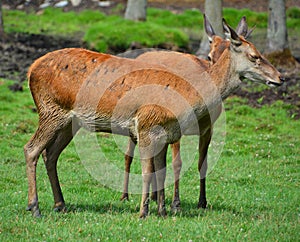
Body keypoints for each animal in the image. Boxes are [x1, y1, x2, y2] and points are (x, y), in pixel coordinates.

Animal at [24, 16, 284, 218]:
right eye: (254, 56)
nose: (281, 77)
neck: (188, 97)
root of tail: (31, 69)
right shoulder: (148, 127)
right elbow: (149, 172)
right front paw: (144, 211)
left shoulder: (167, 133)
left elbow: (163, 170)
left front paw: (162, 210)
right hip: (51, 110)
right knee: (31, 149)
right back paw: (34, 207)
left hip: (71, 122)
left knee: (51, 154)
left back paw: (60, 204)